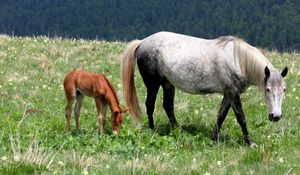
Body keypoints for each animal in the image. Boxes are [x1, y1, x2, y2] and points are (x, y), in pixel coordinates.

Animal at [120, 31, 288, 146]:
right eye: (267, 89)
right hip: (153, 84)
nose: (276, 116)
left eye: (284, 90)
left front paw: (214, 138)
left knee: (168, 106)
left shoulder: (228, 94)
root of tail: (142, 42)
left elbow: (221, 116)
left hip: (168, 84)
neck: (238, 59)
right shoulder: (233, 93)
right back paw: (152, 130)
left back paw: (178, 130)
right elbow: (241, 118)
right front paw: (250, 143)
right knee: (150, 105)